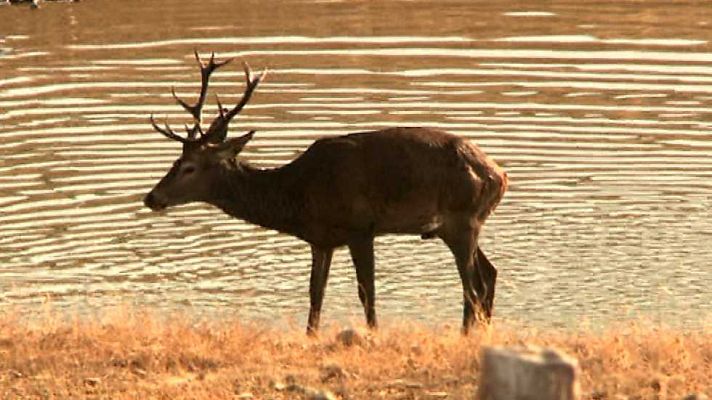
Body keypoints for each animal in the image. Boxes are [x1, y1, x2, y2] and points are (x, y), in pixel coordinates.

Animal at [143, 52, 506, 334]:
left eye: (189, 166)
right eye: (176, 160)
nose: (152, 197)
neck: (300, 197)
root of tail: (499, 175)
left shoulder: (361, 228)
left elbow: (366, 291)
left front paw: (372, 334)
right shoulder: (321, 240)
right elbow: (315, 292)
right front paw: (311, 336)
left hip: (462, 218)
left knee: (473, 285)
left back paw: (464, 334)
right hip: (456, 225)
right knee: (488, 274)